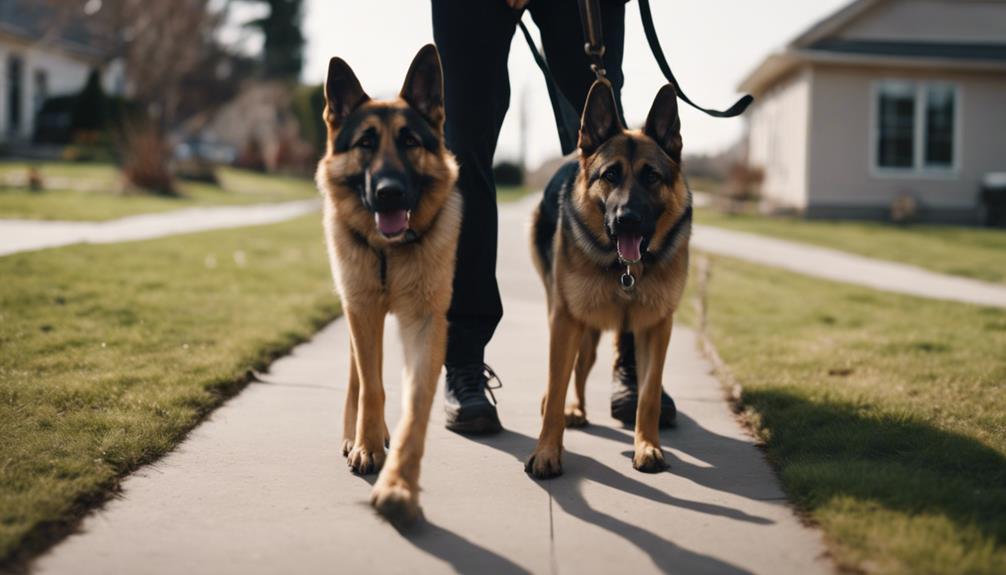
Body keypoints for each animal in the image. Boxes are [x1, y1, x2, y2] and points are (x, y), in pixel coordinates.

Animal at [315, 43, 460, 522]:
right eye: (365, 143)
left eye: (410, 141)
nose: (389, 192)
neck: (389, 250)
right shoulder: (362, 311)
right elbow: (371, 385)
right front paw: (367, 443)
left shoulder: (426, 324)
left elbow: (415, 405)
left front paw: (399, 484)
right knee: (359, 377)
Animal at [527, 79, 692, 476]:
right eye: (610, 175)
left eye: (651, 176)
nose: (626, 219)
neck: (625, 270)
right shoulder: (566, 321)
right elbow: (557, 386)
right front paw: (547, 450)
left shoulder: (657, 326)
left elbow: (648, 395)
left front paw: (647, 447)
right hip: (574, 322)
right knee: (575, 368)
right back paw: (572, 408)